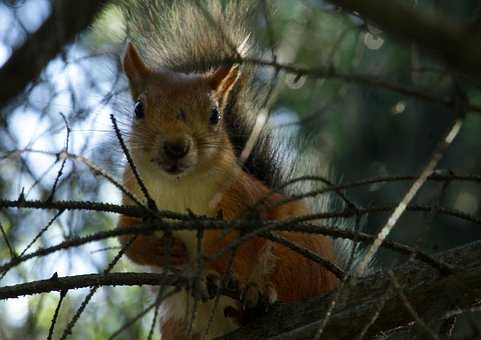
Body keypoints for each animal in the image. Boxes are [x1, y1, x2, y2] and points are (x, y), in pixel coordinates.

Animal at [117, 1, 338, 338]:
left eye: (215, 115)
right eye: (139, 108)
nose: (175, 147)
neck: (179, 186)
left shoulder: (246, 200)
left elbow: (248, 245)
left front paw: (221, 274)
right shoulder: (133, 196)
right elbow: (126, 239)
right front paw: (163, 251)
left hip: (298, 255)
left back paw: (256, 303)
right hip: (176, 322)